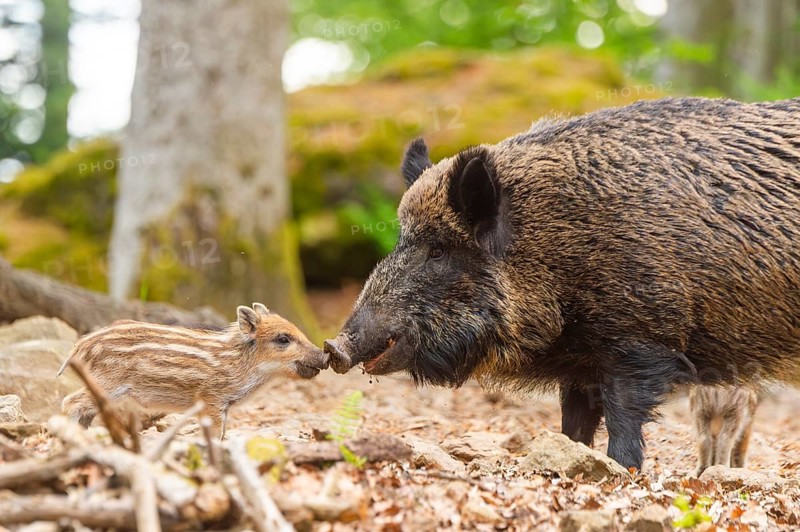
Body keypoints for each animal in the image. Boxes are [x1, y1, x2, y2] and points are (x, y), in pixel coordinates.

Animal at [59, 303, 328, 437]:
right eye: (283, 339)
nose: (324, 355)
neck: (240, 364)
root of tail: (80, 346)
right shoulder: (211, 399)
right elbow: (215, 433)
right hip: (108, 383)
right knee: (70, 401)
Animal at [324, 96, 800, 469]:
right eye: (401, 240)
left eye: (438, 250)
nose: (335, 346)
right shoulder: (582, 362)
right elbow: (574, 422)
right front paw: (572, 456)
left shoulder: (640, 342)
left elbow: (624, 416)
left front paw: (621, 469)